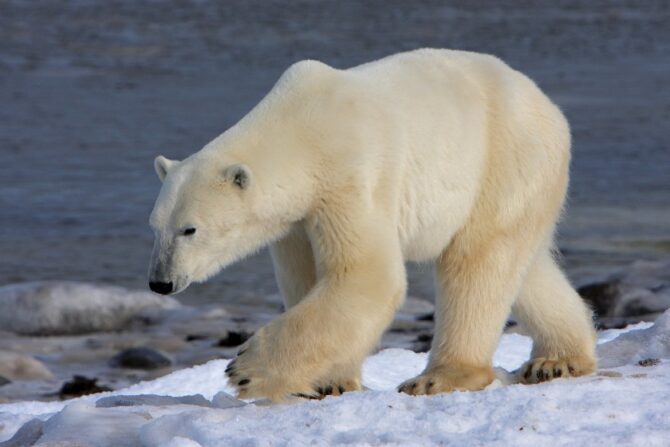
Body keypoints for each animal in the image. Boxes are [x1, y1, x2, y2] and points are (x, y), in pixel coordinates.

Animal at [151, 50, 600, 402]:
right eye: (156, 227)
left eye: (189, 229)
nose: (160, 282)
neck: (301, 126)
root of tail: (549, 107)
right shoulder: (298, 218)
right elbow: (308, 277)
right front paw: (328, 382)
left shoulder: (350, 176)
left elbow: (367, 275)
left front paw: (247, 370)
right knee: (524, 267)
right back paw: (558, 359)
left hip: (503, 158)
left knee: (477, 262)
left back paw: (439, 377)